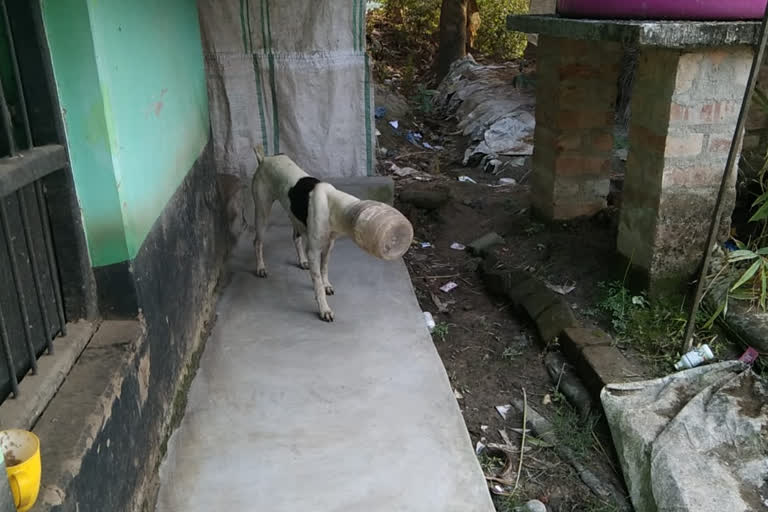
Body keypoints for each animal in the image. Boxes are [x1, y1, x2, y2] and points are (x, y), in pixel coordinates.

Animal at [250, 148, 414, 322]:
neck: (332, 205)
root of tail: (265, 159)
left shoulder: (329, 246)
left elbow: (324, 268)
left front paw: (326, 284)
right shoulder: (314, 252)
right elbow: (317, 284)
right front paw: (324, 309)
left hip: (294, 216)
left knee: (295, 237)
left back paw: (302, 261)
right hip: (262, 214)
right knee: (257, 242)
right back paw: (260, 268)